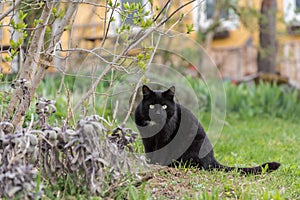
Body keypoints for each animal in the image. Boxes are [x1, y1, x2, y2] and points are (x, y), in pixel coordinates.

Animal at [135, 85, 280, 174]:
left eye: (164, 106)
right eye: (152, 106)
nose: (158, 114)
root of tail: (212, 159)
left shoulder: (166, 137)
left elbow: (162, 151)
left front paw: (157, 165)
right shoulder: (147, 139)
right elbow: (149, 151)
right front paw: (149, 163)